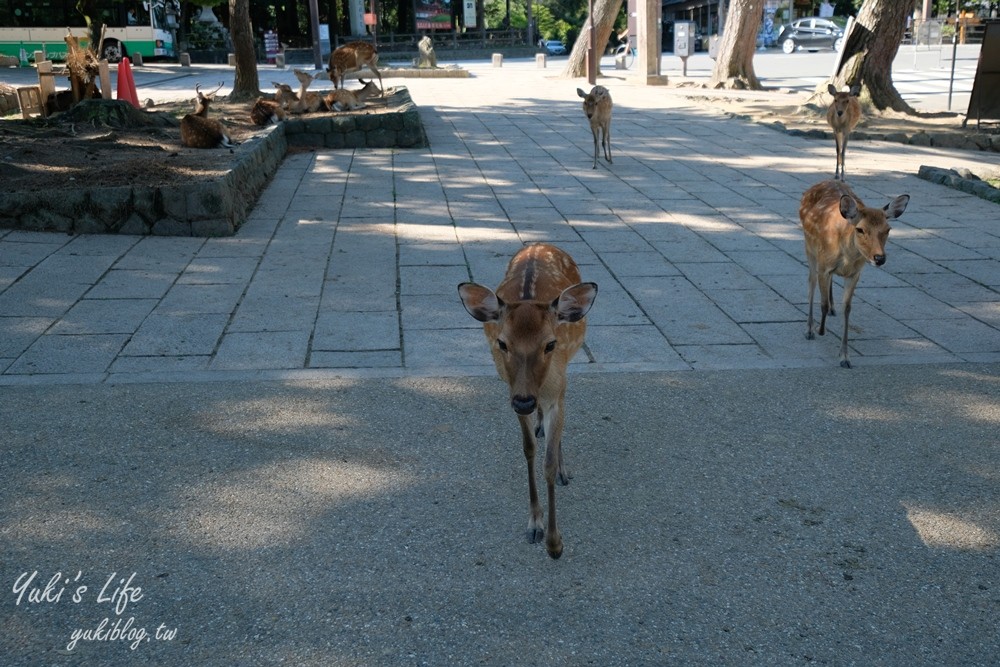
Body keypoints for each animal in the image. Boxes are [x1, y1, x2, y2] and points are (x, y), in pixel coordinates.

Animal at [458, 244, 596, 560]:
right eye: (502, 343)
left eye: (550, 343)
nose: (524, 402)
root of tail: (540, 245)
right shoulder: (511, 392)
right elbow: (528, 449)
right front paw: (534, 524)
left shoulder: (555, 387)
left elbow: (548, 461)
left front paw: (555, 543)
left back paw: (562, 466)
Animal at [800, 180, 912, 368]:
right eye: (860, 229)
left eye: (888, 229)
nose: (879, 258)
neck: (847, 257)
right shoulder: (824, 267)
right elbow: (822, 302)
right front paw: (819, 330)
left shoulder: (855, 274)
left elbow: (847, 308)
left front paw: (845, 357)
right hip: (810, 249)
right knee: (811, 284)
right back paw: (809, 329)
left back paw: (833, 309)